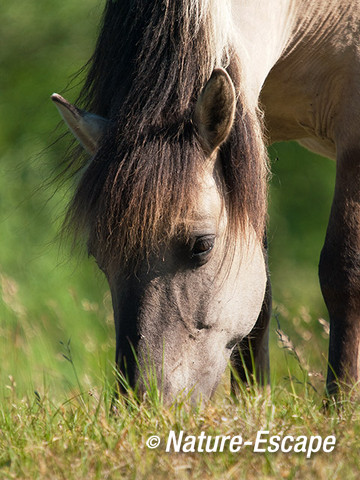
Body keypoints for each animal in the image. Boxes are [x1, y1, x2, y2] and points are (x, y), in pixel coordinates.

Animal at [52, 0, 360, 402]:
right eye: (98, 255)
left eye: (202, 245)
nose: (144, 402)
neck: (310, 14)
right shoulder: (251, 136)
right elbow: (260, 304)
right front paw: (253, 406)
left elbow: (344, 276)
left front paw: (340, 407)